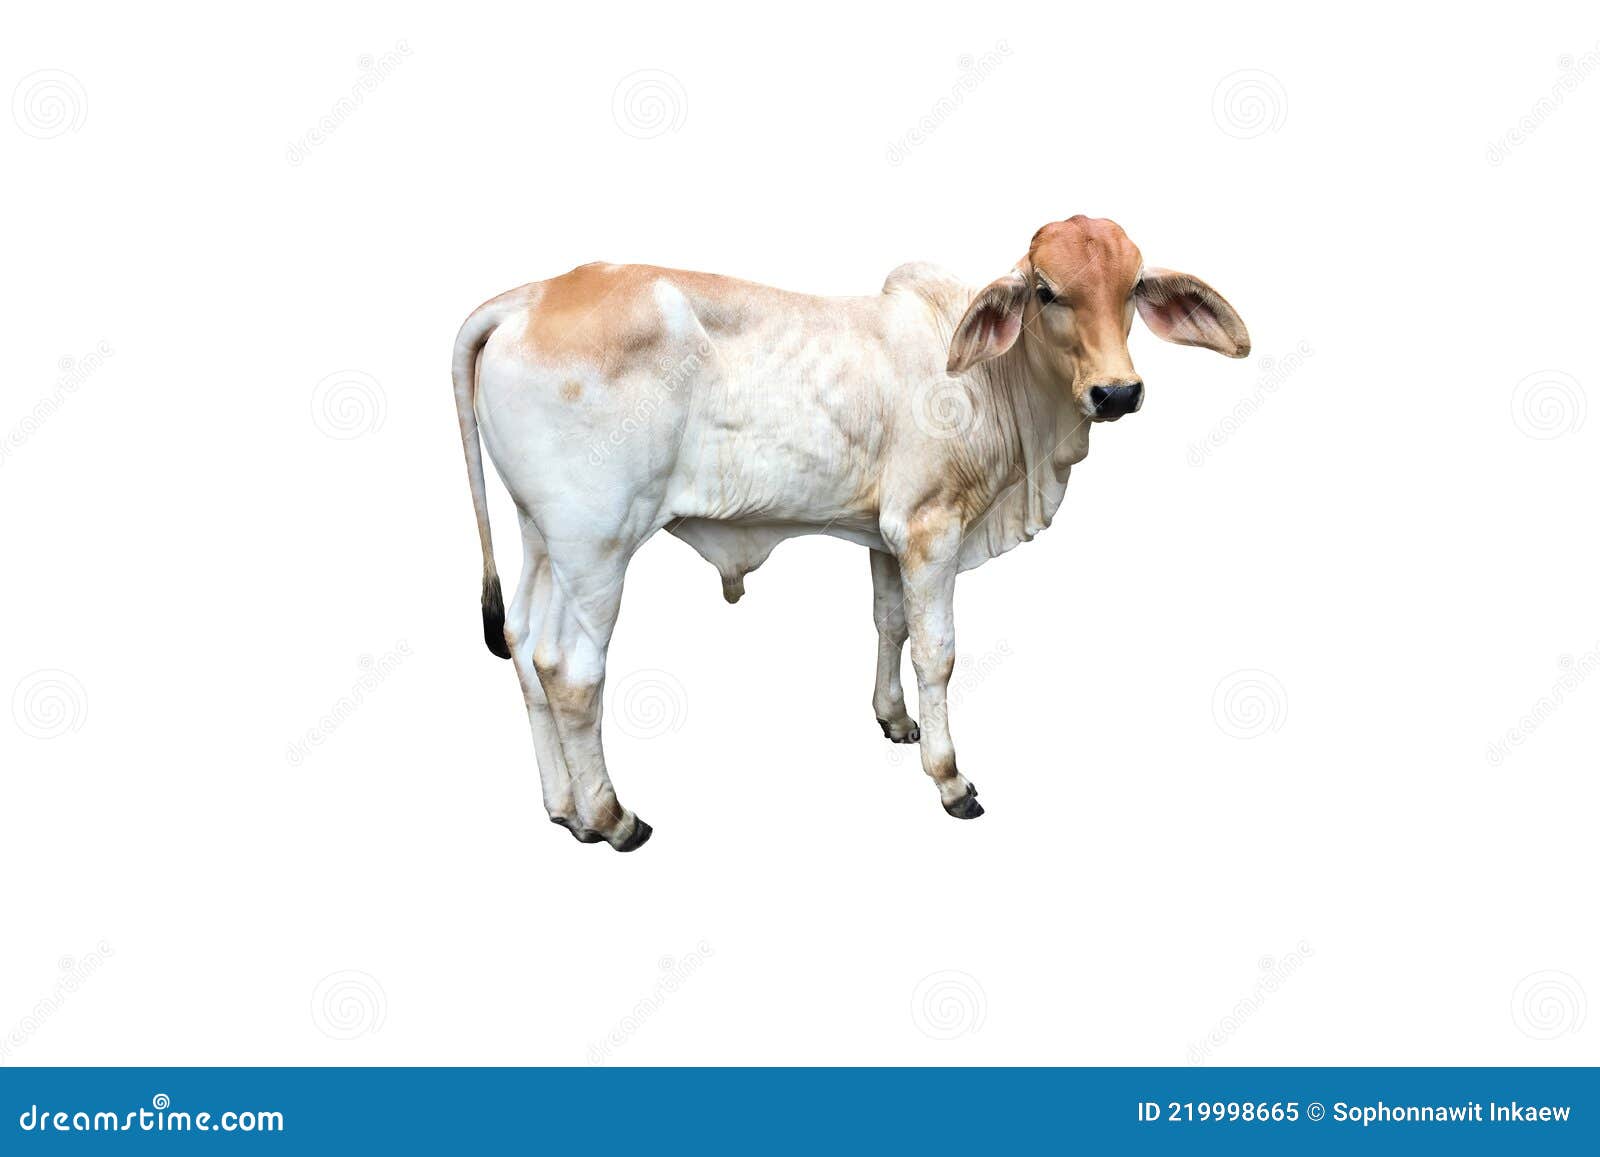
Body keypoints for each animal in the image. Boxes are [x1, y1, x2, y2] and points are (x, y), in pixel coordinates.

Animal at [451, 215, 1249, 851]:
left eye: (1134, 286)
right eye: (1047, 291)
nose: (1116, 392)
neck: (992, 383)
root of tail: (531, 296)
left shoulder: (885, 538)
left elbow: (889, 623)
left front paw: (895, 721)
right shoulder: (931, 529)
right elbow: (937, 653)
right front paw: (950, 778)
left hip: (541, 536)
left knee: (522, 641)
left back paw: (564, 808)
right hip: (598, 545)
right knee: (570, 669)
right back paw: (612, 817)